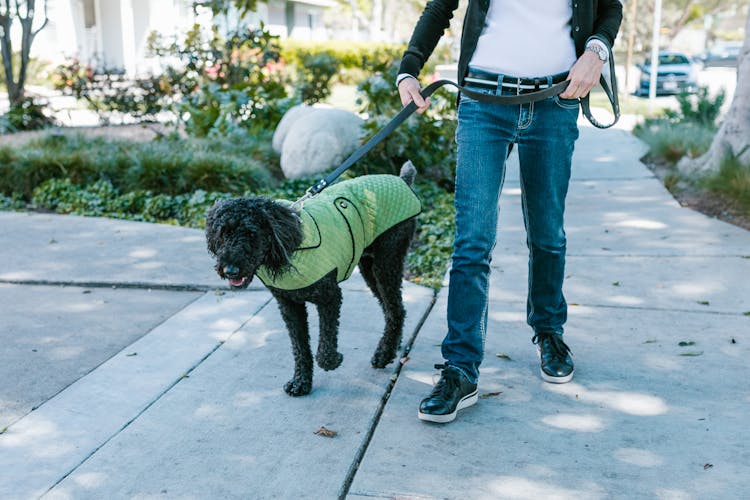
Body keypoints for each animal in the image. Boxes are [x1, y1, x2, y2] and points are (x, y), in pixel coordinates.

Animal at [206, 162, 420, 396]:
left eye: (251, 233)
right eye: (223, 233)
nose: (229, 270)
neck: (287, 248)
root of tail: (402, 180)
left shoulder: (330, 297)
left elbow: (324, 349)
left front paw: (334, 359)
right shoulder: (289, 306)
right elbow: (300, 348)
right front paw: (301, 382)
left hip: (386, 263)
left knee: (395, 308)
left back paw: (384, 353)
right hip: (369, 268)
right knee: (392, 309)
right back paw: (392, 346)